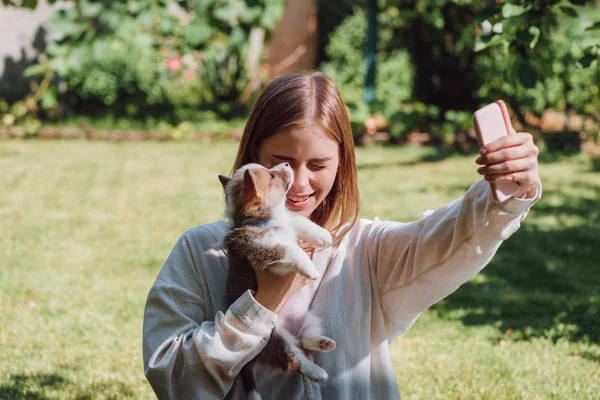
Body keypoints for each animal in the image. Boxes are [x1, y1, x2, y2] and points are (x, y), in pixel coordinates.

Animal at [218, 162, 338, 400]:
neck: (264, 220)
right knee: (294, 358)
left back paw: (322, 342)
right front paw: (310, 269)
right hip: (275, 338)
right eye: (272, 176)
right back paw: (316, 371)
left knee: (305, 337)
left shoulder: (289, 220)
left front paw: (322, 235)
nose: (287, 164)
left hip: (309, 316)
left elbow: (299, 220)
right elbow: (290, 249)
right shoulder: (264, 253)